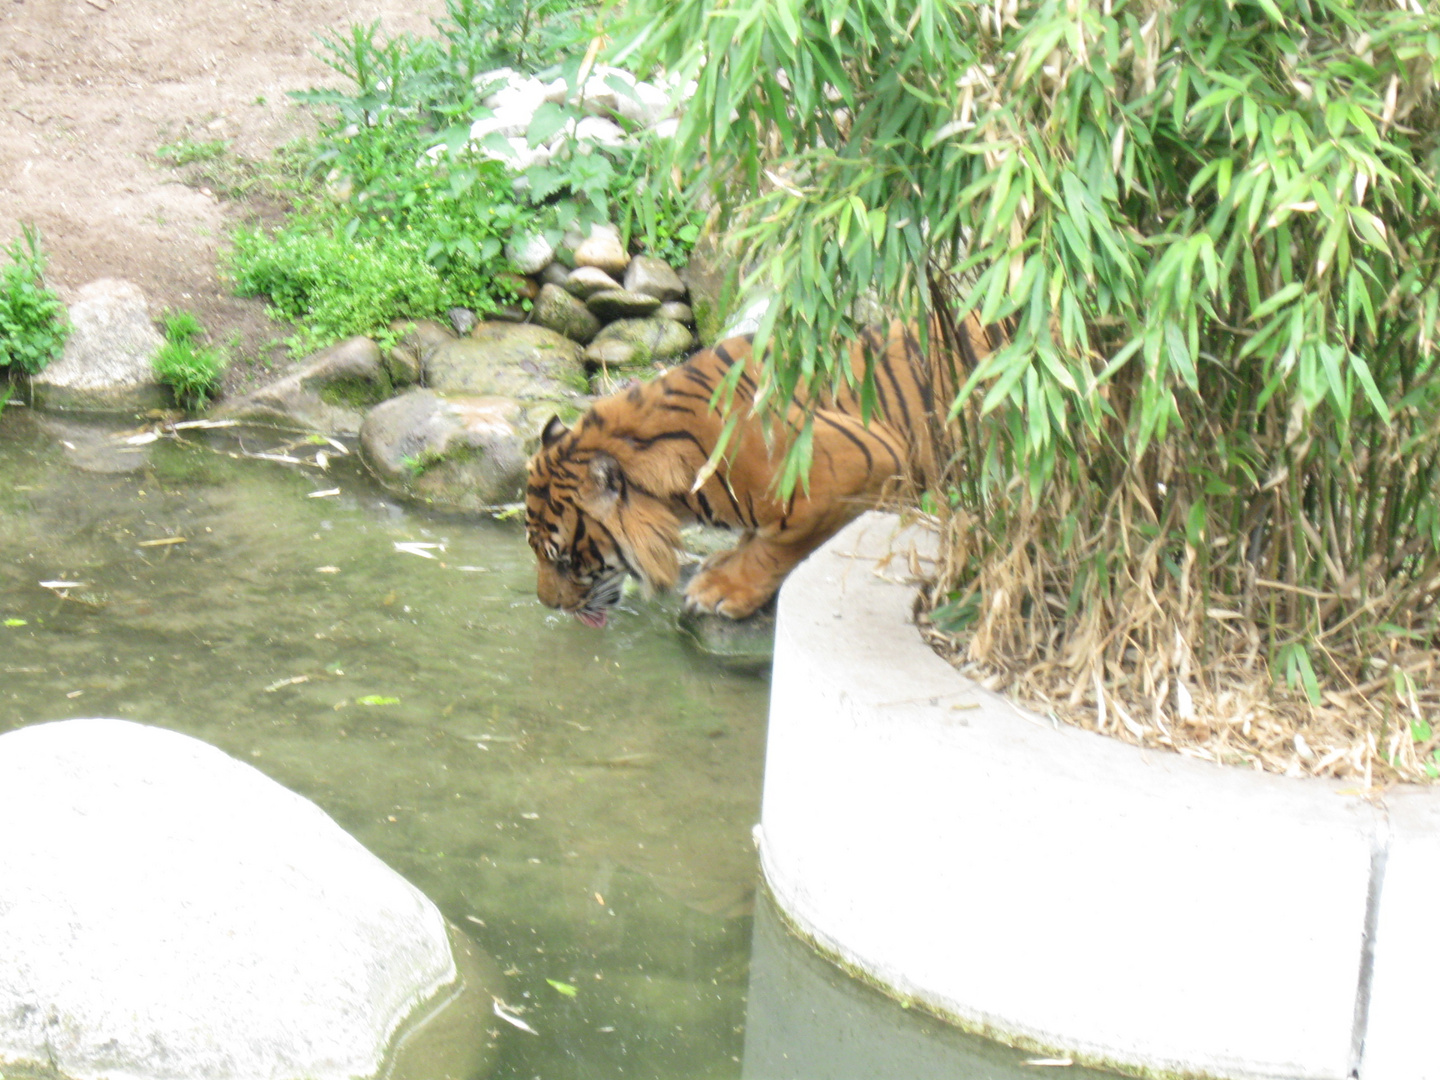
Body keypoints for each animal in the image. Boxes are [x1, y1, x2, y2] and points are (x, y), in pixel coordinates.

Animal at [524, 315, 1008, 624]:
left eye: (565, 561)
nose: (547, 605)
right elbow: (755, 536)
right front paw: (721, 560)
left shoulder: (863, 460)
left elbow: (778, 545)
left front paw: (722, 590)